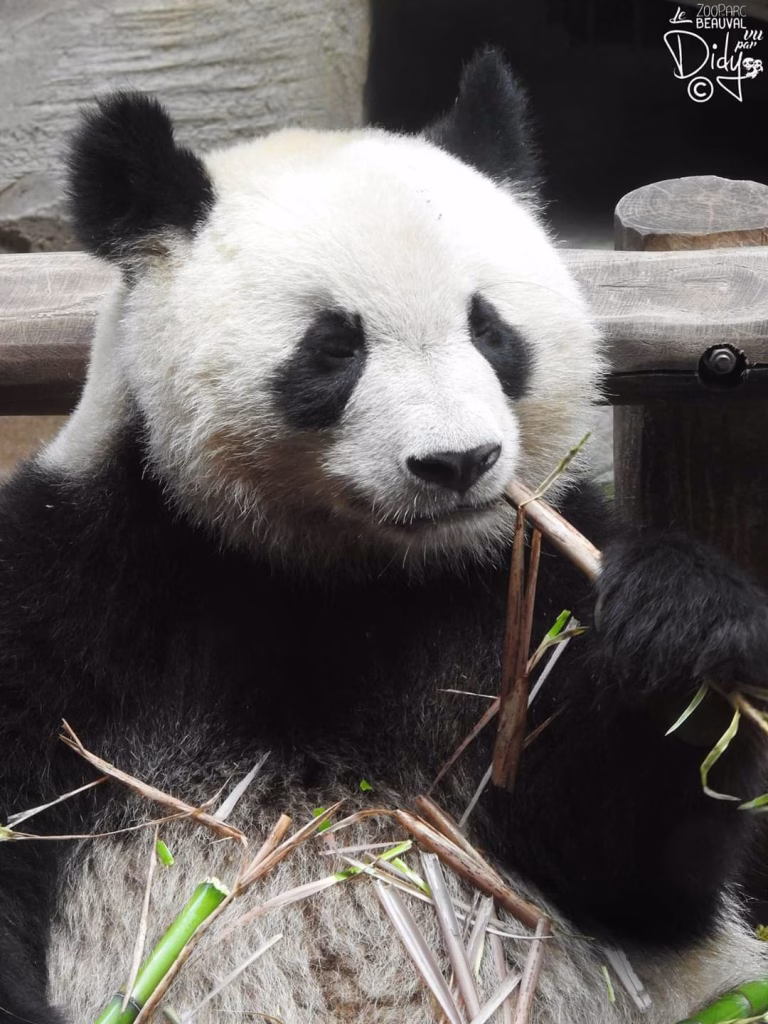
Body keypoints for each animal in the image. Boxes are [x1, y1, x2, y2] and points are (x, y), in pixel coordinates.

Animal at [0, 49, 767, 1024]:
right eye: (334, 347)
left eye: (490, 328)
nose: (457, 462)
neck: (341, 574)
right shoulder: (75, 588)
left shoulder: (517, 593)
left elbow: (636, 869)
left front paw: (679, 624)